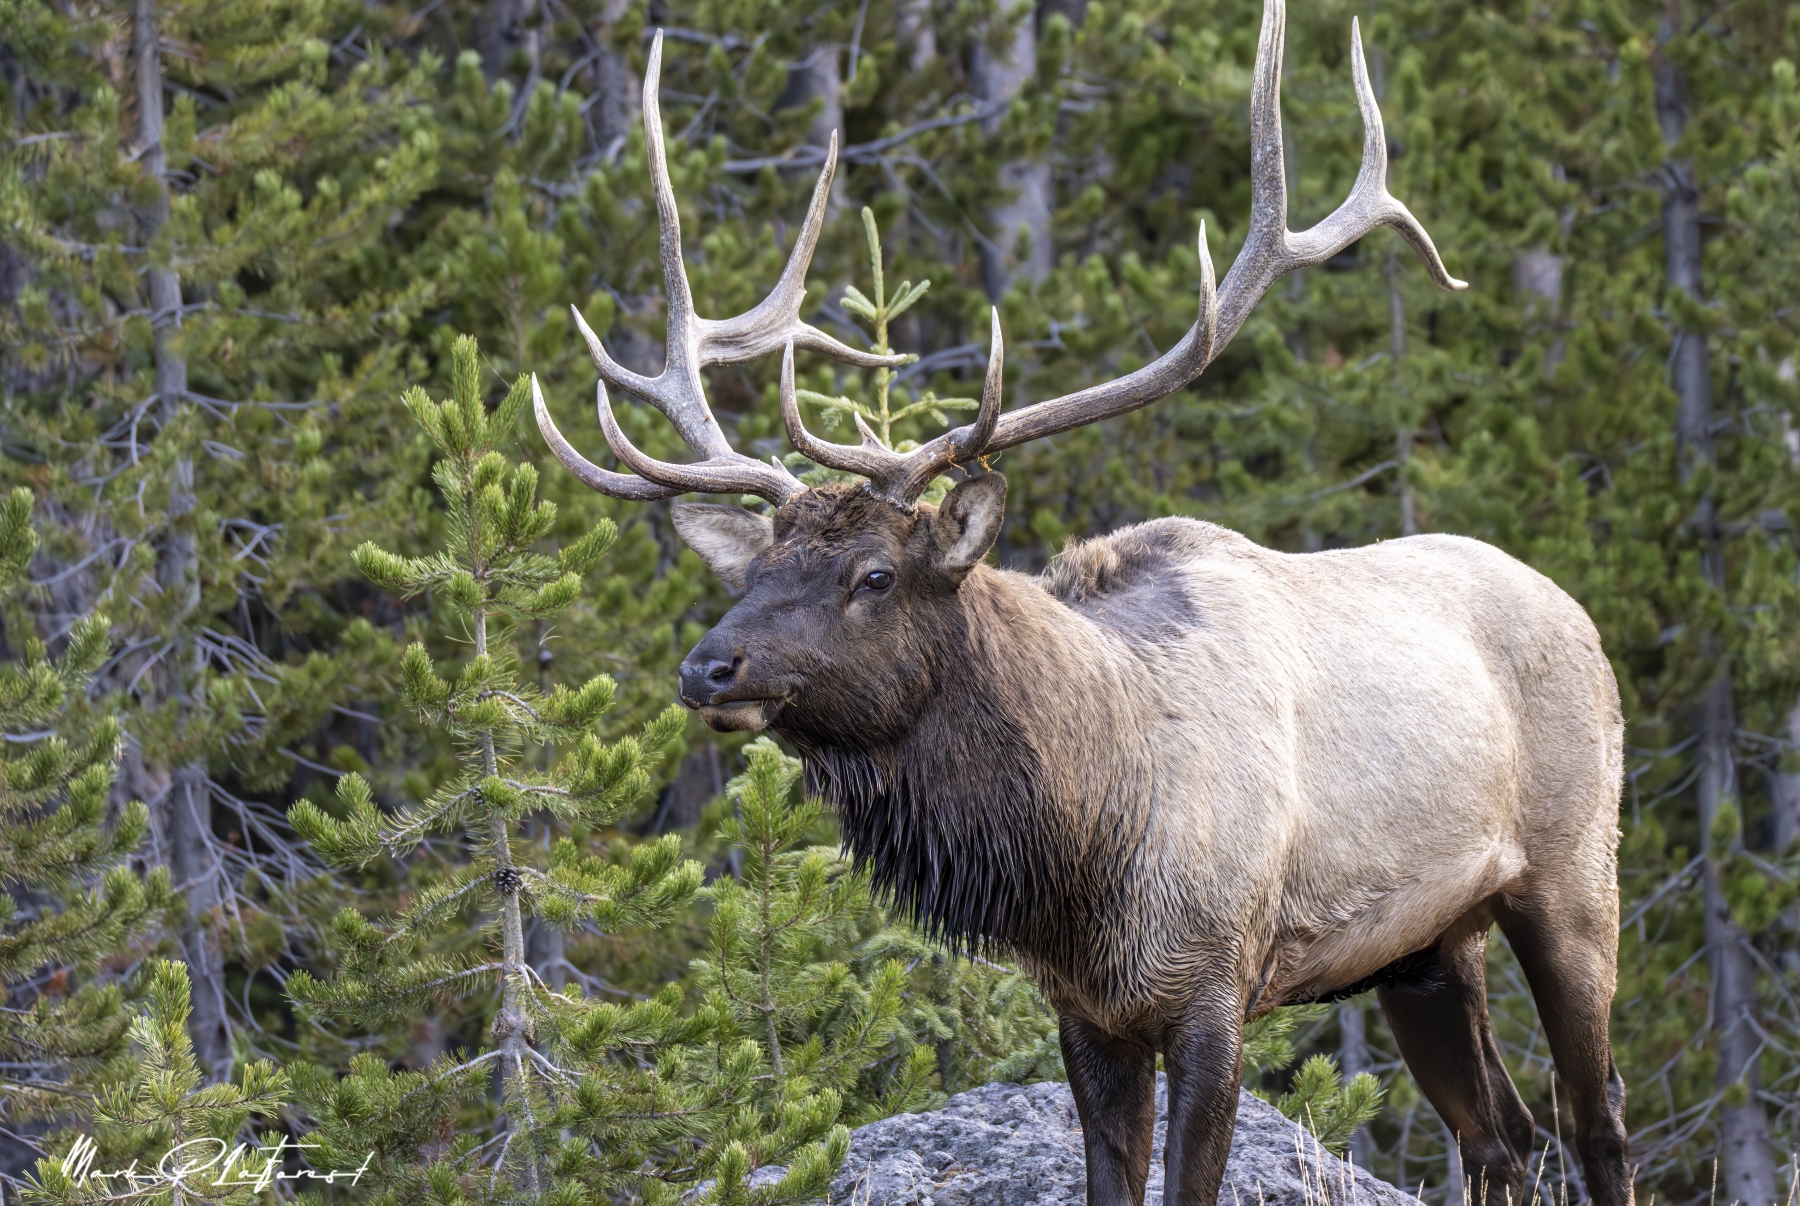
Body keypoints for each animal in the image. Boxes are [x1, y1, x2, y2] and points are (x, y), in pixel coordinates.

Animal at [531, 7, 1632, 1206]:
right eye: (753, 572)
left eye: (874, 576)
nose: (708, 668)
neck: (1084, 853)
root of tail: (1579, 613)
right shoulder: (1086, 1015)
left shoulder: (1216, 987)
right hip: (1426, 946)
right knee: (1502, 1138)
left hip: (1575, 873)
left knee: (1596, 1121)